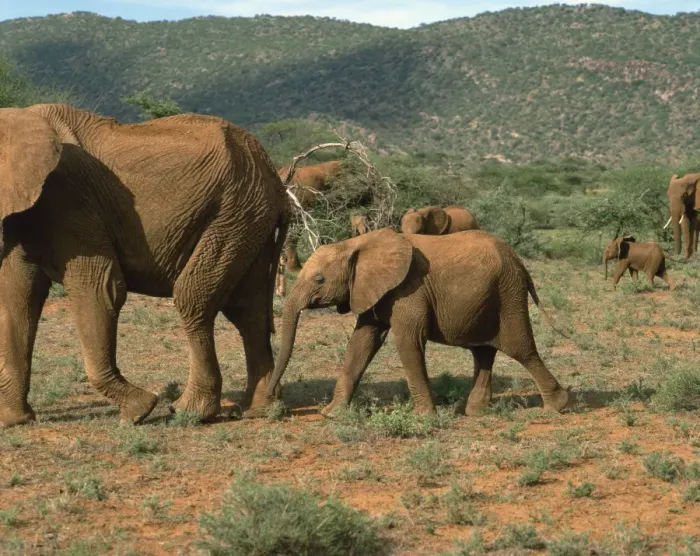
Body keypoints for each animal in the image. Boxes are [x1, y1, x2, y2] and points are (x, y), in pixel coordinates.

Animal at [0, 104, 290, 427]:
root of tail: (274, 177)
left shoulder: (67, 200)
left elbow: (99, 288)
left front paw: (139, 411)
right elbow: (18, 297)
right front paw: (14, 420)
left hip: (234, 213)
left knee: (193, 298)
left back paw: (190, 412)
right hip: (250, 220)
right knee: (248, 310)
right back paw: (259, 410)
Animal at [266, 229, 570, 418]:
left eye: (319, 280)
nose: (272, 401)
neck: (357, 244)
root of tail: (519, 262)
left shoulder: (409, 289)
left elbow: (408, 341)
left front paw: (423, 417)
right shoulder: (373, 290)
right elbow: (362, 342)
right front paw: (331, 415)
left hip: (508, 295)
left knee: (522, 350)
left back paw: (558, 407)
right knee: (483, 352)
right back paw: (474, 412)